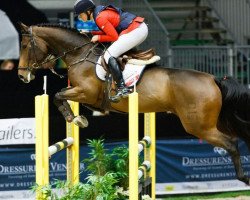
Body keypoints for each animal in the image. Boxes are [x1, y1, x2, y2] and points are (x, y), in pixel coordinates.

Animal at [17, 22, 250, 185]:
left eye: (26, 45)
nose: (21, 76)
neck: (80, 55)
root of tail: (214, 79)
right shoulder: (82, 95)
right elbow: (61, 96)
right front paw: (78, 117)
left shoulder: (85, 92)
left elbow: (57, 95)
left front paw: (74, 118)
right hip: (211, 122)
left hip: (199, 126)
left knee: (231, 143)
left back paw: (243, 178)